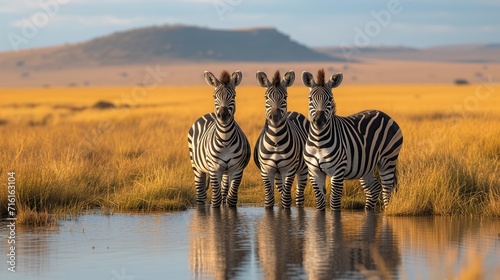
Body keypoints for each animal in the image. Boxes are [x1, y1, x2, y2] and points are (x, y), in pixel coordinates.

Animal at [188, 69, 250, 207]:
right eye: (214, 96)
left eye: (234, 96)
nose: (223, 115)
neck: (225, 139)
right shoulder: (214, 169)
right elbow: (215, 200)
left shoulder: (237, 169)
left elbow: (231, 199)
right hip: (197, 167)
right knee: (201, 195)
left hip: (225, 172)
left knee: (224, 193)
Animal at [254, 70, 308, 208]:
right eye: (266, 97)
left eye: (285, 97)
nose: (275, 117)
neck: (276, 140)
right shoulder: (266, 170)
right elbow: (269, 199)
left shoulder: (289, 170)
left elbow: (286, 199)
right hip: (277, 173)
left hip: (302, 169)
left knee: (299, 196)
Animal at [300, 69, 402, 210]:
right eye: (310, 99)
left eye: (330, 99)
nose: (319, 121)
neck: (319, 141)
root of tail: (384, 114)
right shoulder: (314, 172)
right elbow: (320, 203)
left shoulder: (337, 171)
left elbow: (334, 202)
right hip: (365, 165)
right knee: (374, 189)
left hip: (388, 160)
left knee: (387, 191)